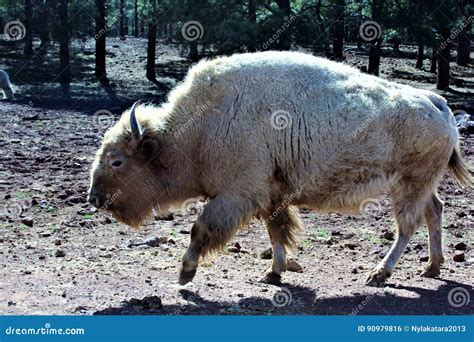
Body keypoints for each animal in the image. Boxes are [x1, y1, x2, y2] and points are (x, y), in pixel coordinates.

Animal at [88, 50, 470, 286]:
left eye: (117, 160)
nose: (94, 198)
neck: (197, 128)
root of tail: (436, 102)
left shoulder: (237, 194)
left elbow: (201, 229)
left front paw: (185, 272)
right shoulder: (270, 195)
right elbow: (277, 232)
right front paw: (275, 273)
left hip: (409, 184)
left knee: (408, 226)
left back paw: (379, 274)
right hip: (420, 184)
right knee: (435, 211)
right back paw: (432, 267)